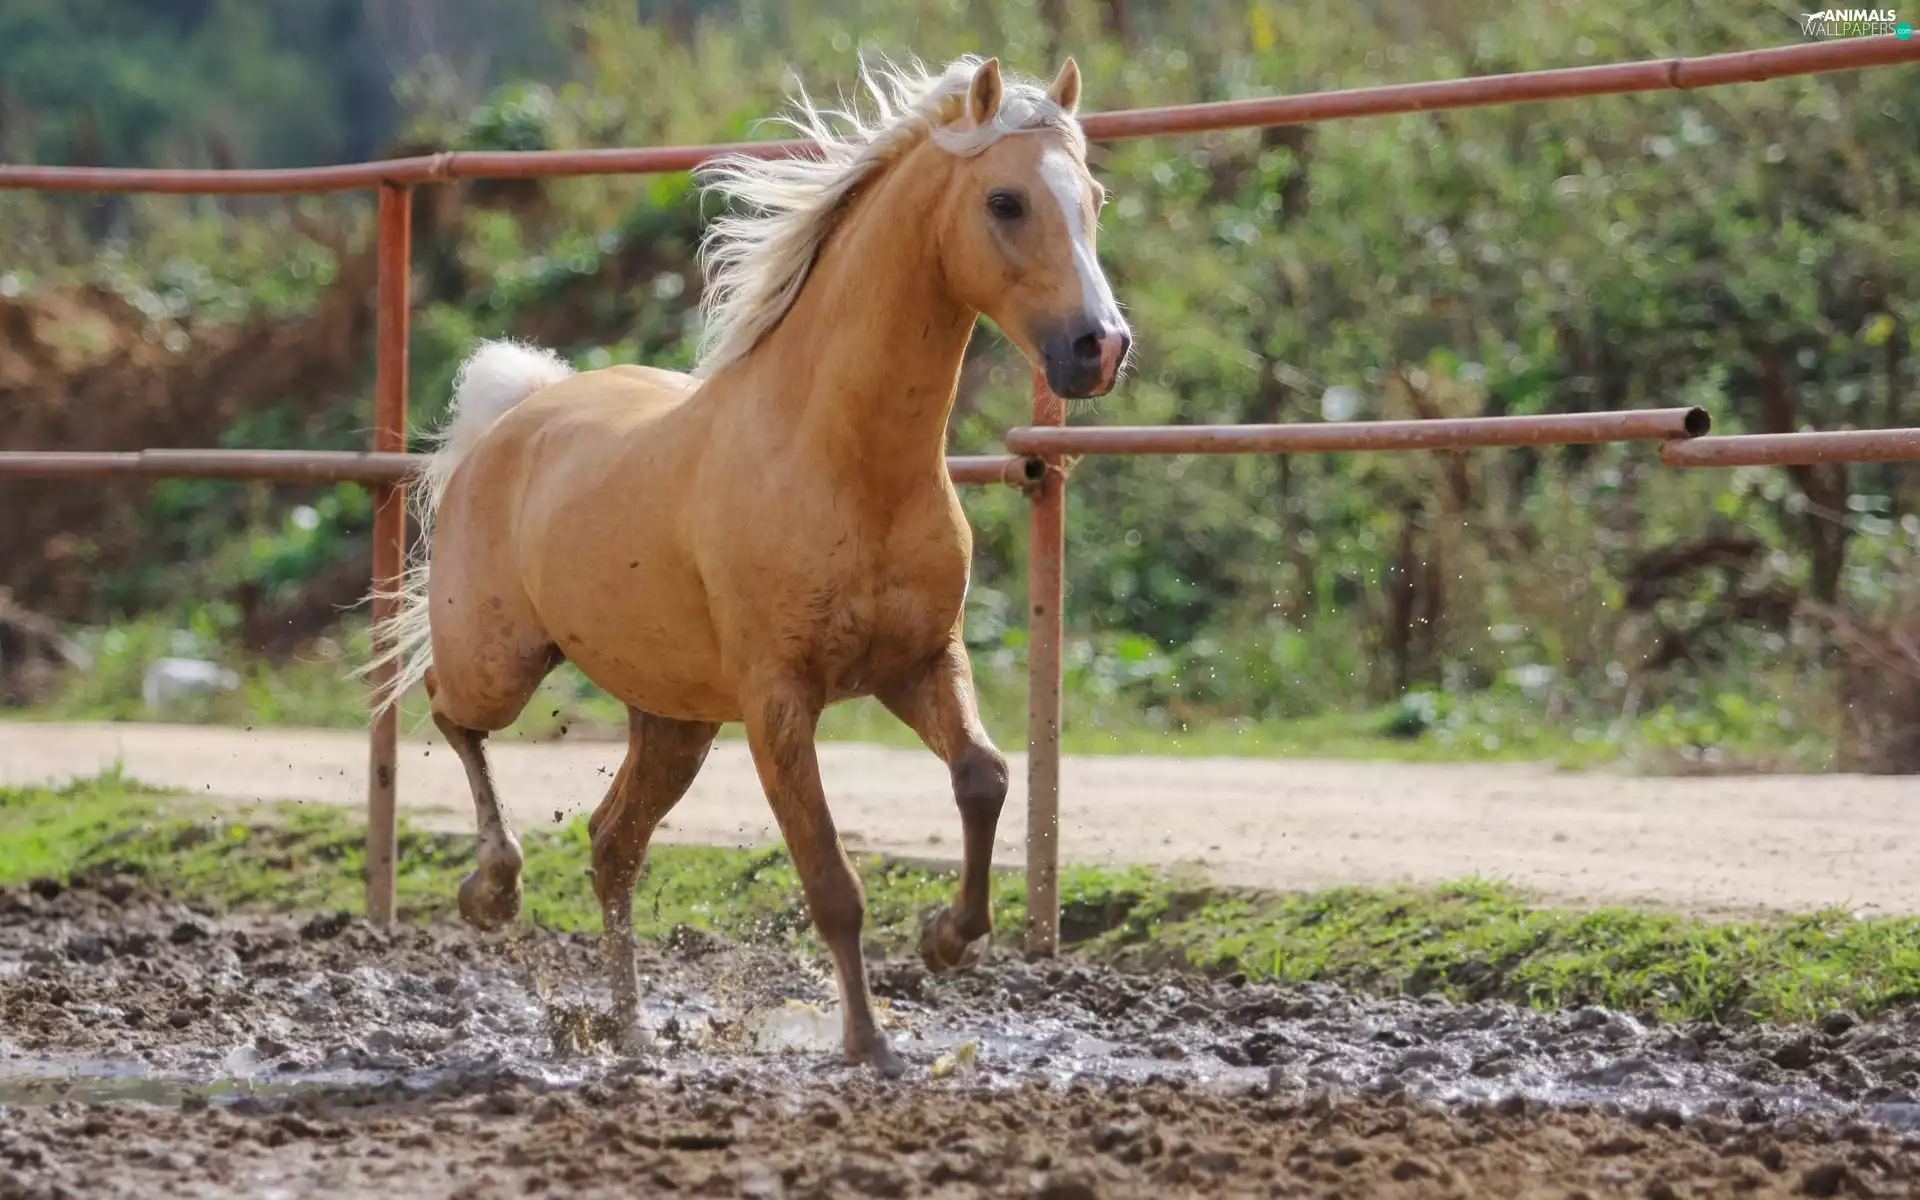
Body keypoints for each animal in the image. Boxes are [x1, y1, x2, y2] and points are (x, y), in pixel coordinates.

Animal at [367, 54, 1130, 1077]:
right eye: (1005, 200)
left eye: (1091, 197)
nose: (1100, 347)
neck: (843, 461)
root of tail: (517, 413)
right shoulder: (779, 702)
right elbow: (833, 881)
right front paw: (868, 1045)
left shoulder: (921, 662)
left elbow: (986, 776)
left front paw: (947, 940)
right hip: (503, 661)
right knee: (452, 712)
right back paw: (494, 887)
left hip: (676, 719)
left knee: (612, 845)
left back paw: (632, 1032)